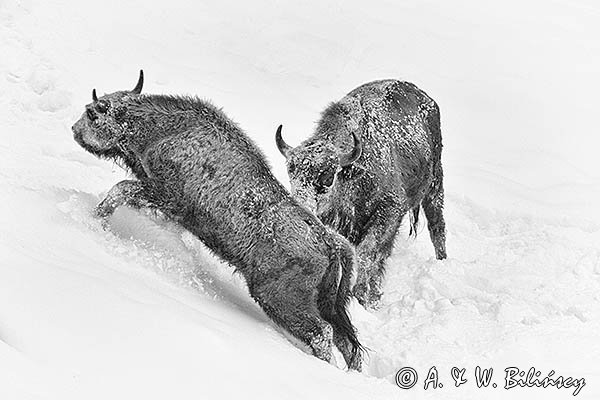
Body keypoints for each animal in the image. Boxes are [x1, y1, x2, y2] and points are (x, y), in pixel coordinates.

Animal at [70, 70, 360, 370]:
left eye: (93, 112)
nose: (74, 130)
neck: (166, 129)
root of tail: (328, 241)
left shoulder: (166, 195)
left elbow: (121, 190)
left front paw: (95, 218)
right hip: (328, 304)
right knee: (348, 344)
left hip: (280, 299)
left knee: (322, 334)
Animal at [276, 79, 446, 308]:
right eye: (290, 172)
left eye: (327, 178)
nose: (301, 208)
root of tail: (427, 99)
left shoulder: (388, 212)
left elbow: (368, 253)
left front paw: (361, 296)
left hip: (435, 186)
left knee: (437, 227)